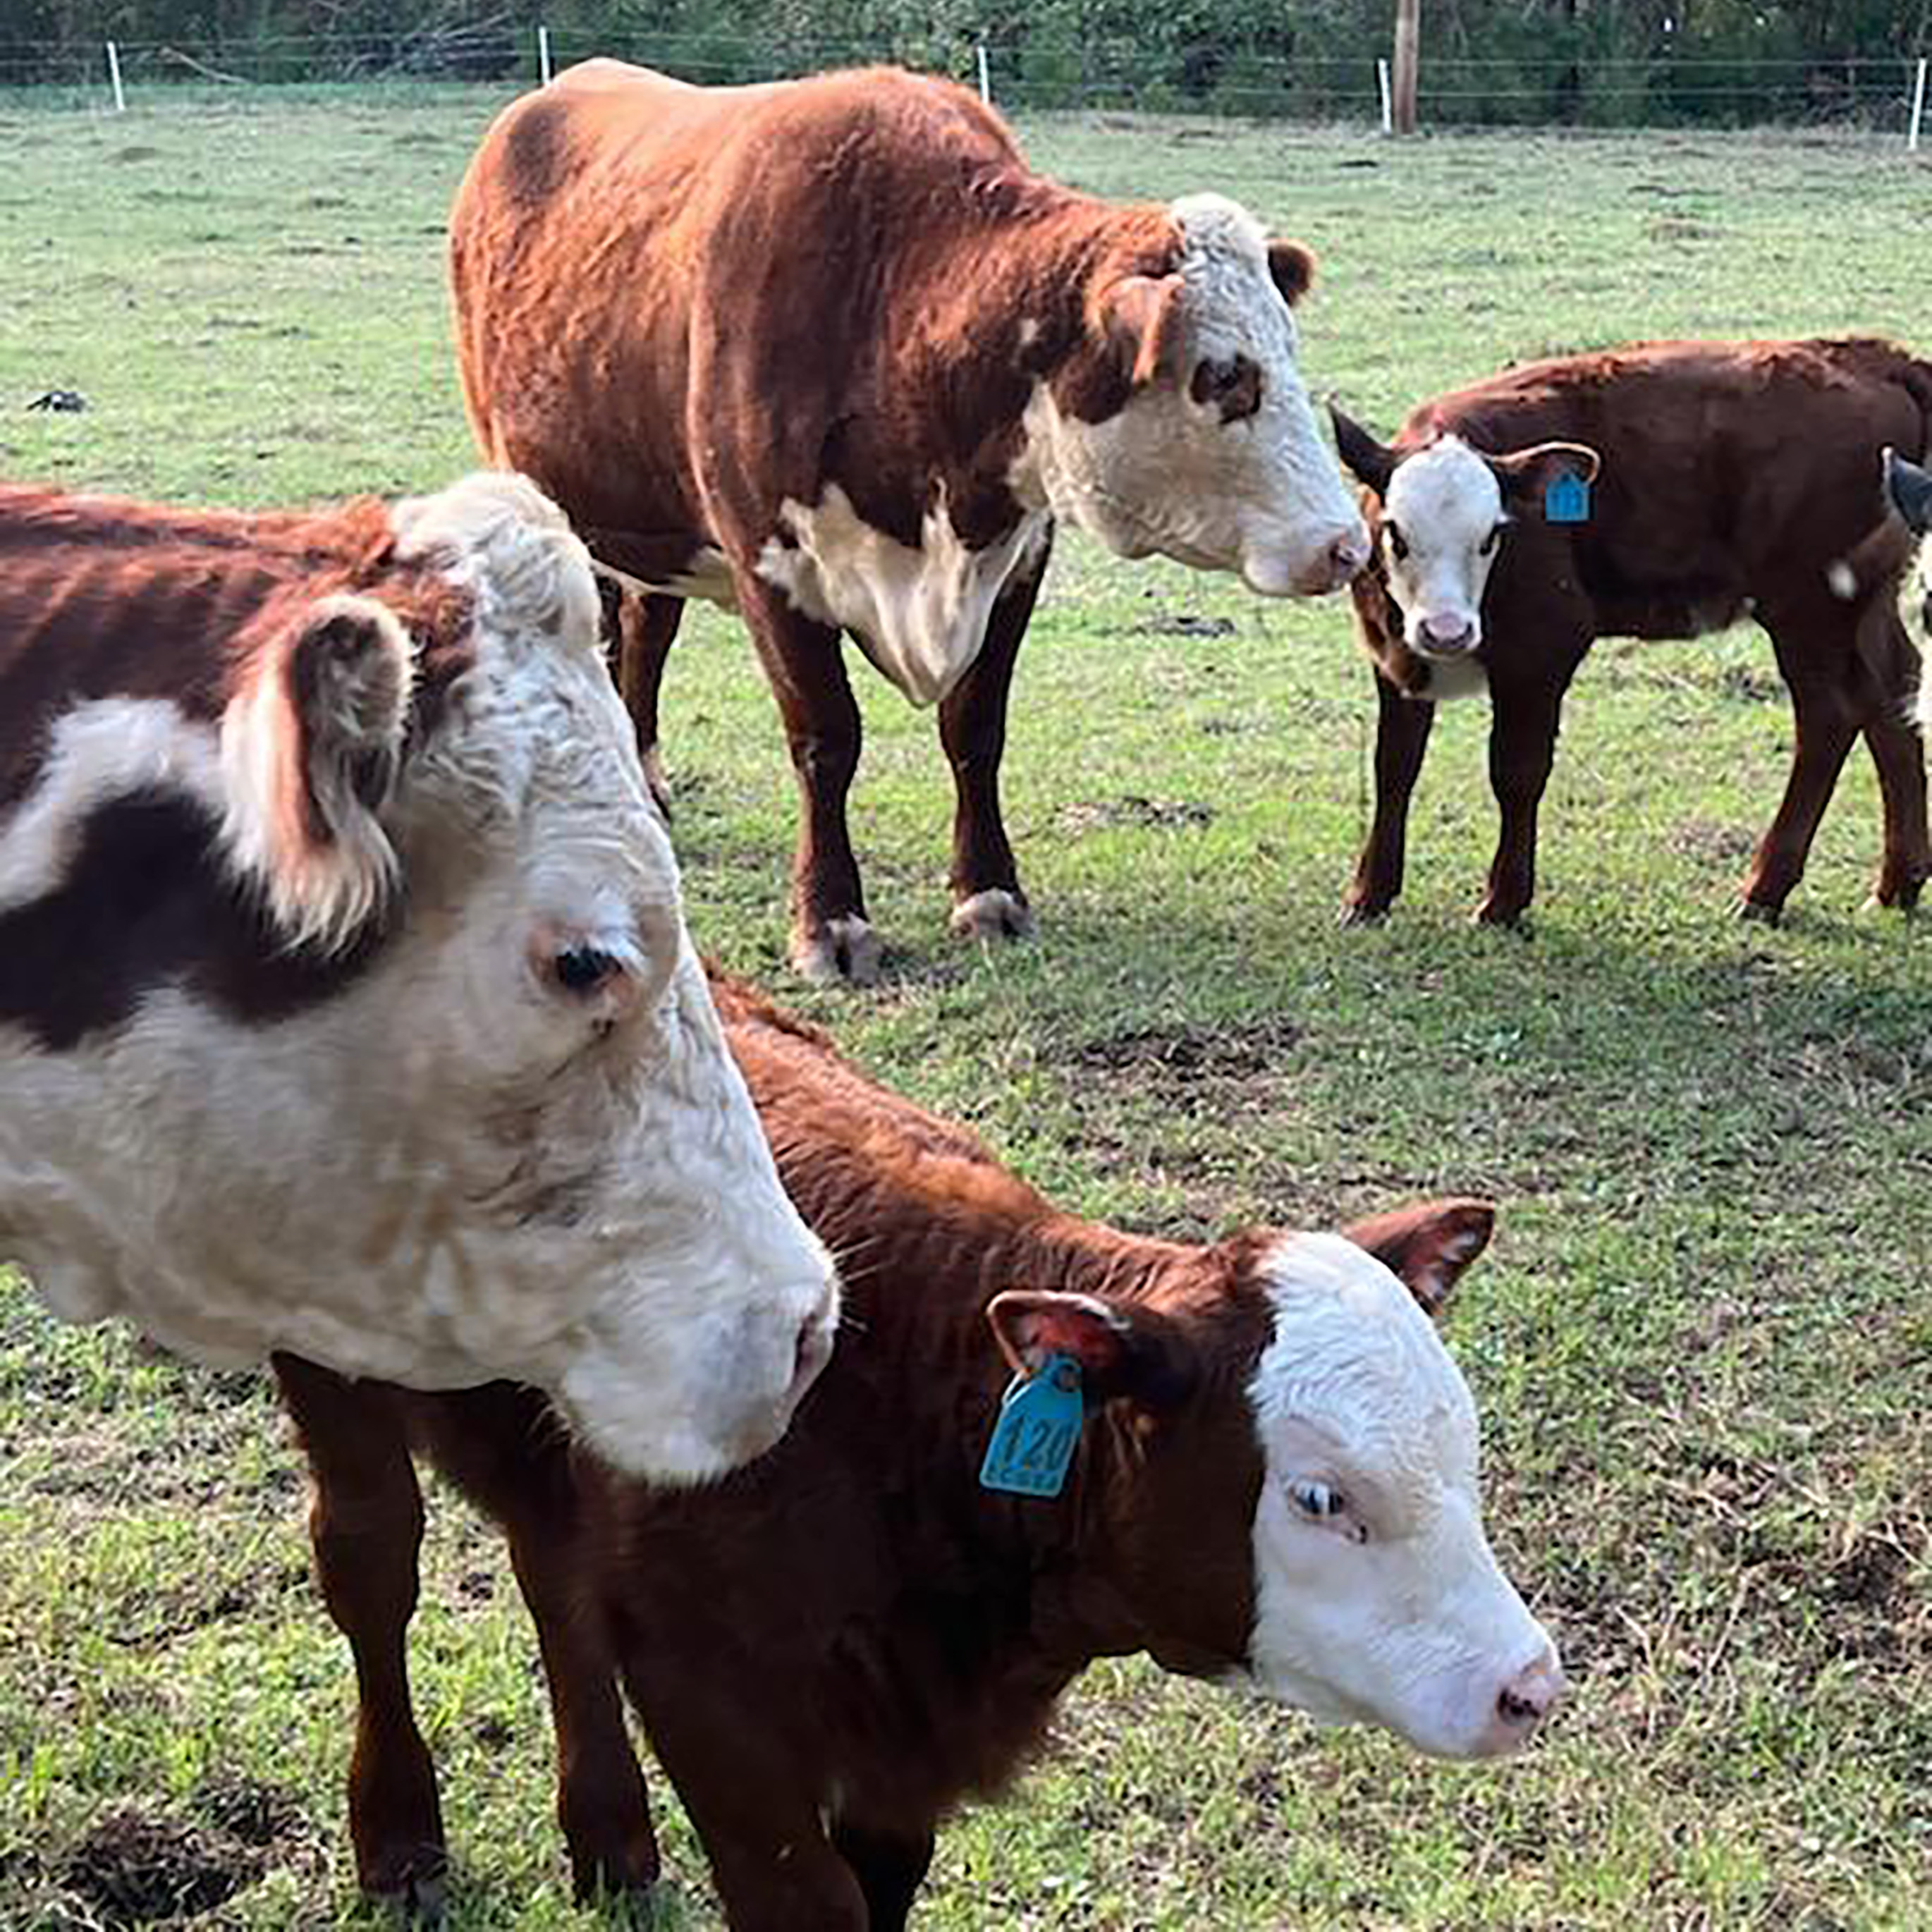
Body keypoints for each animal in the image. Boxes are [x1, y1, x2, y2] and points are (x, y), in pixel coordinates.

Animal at [448, 64, 1375, 981]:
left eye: (1284, 350)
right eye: (1223, 375)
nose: (1346, 544)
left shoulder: (1017, 554)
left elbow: (975, 729)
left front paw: (989, 893)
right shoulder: (768, 567)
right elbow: (826, 738)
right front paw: (829, 919)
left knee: (646, 632)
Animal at [1329, 338, 1932, 927]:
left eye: (1492, 536)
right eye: (1395, 533)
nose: (1446, 632)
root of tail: (1874, 359)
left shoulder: (1542, 650)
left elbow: (1517, 772)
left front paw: (1504, 901)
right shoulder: (1393, 655)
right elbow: (1394, 767)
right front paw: (1370, 894)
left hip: (1808, 611)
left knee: (1829, 720)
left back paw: (1766, 887)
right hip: (1861, 608)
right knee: (1891, 701)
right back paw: (1897, 883)